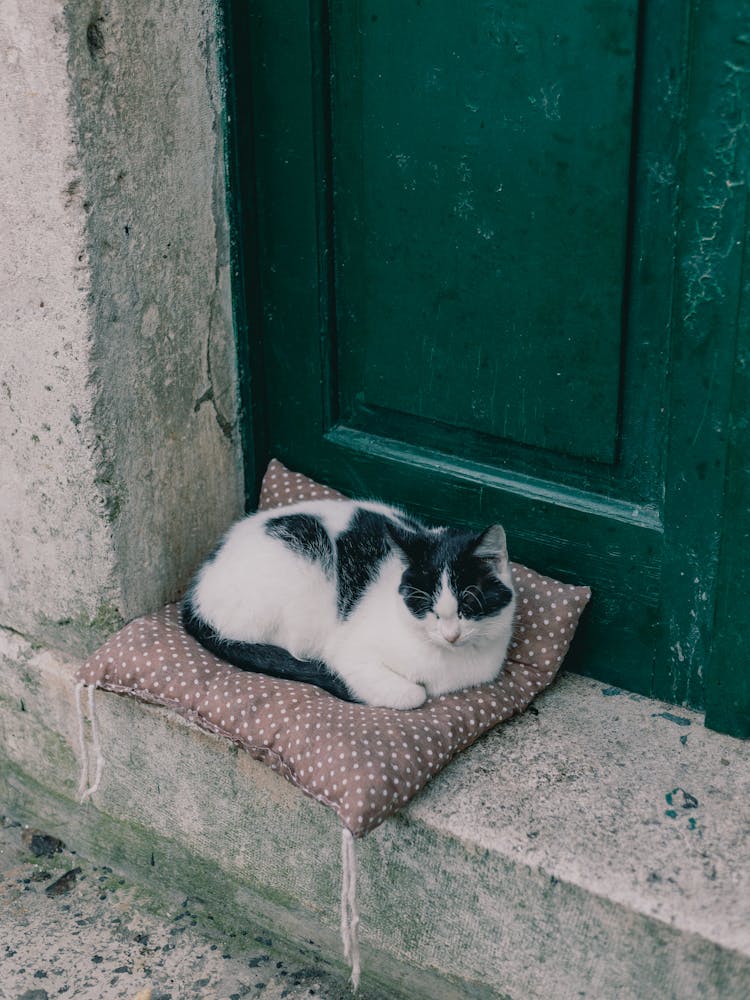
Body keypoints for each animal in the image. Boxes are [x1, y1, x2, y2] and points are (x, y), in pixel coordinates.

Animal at [184, 500, 516, 712]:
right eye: (426, 606)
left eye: (468, 604)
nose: (451, 635)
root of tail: (197, 589)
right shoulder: (349, 654)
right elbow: (412, 694)